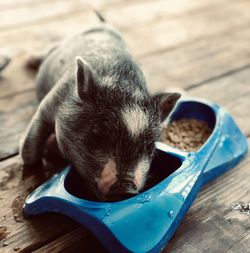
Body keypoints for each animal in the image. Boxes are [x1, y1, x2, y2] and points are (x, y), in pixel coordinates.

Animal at [19, 23, 180, 202]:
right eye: (97, 134)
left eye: (150, 146)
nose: (126, 189)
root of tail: (104, 25)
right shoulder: (50, 102)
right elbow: (29, 152)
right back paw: (28, 59)